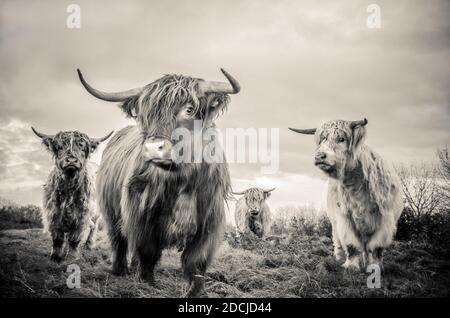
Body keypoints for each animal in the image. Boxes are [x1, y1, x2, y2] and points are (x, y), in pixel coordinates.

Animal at [31, 126, 112, 260]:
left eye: (82, 147)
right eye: (60, 146)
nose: (72, 161)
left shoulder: (82, 214)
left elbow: (75, 237)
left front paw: (72, 256)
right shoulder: (53, 212)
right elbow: (57, 237)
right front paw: (55, 256)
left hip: (96, 213)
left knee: (93, 228)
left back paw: (88, 246)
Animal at [77, 68, 239, 296]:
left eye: (189, 109)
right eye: (146, 113)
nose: (153, 148)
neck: (182, 180)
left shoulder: (209, 221)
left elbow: (196, 261)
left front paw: (196, 291)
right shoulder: (142, 215)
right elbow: (148, 252)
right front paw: (147, 283)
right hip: (110, 210)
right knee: (118, 240)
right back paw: (119, 270)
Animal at [290, 119, 402, 270]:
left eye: (341, 139)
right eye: (321, 140)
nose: (319, 156)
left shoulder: (385, 219)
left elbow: (376, 248)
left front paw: (375, 267)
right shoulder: (344, 216)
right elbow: (351, 244)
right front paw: (351, 266)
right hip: (334, 221)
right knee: (338, 240)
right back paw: (339, 258)